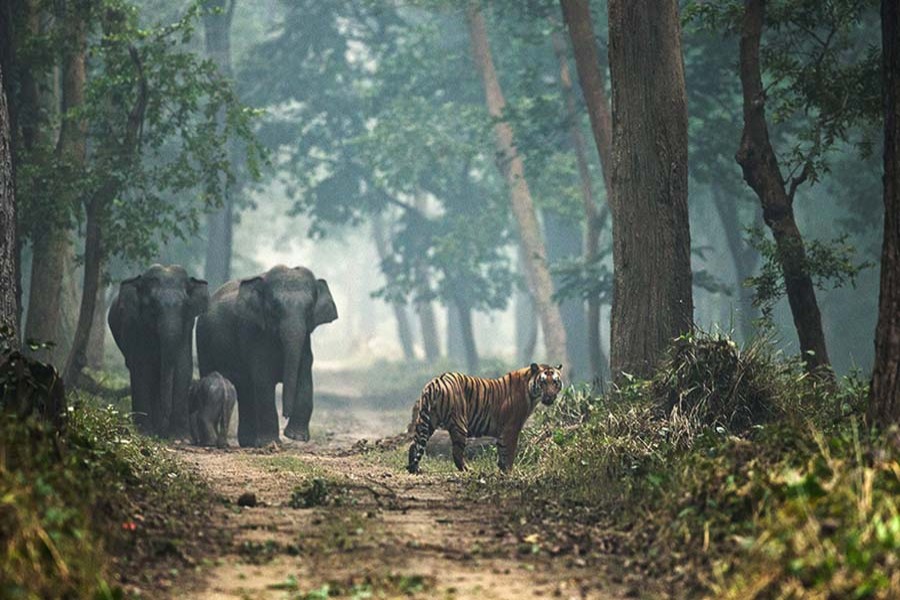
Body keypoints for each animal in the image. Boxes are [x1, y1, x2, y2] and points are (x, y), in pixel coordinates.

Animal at [108, 264, 208, 437]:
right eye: (152, 306)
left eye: (185, 305)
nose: (163, 432)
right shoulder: (137, 325)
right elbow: (141, 368)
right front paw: (145, 432)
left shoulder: (187, 327)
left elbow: (183, 367)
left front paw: (181, 438)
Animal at [196, 265, 338, 447]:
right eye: (275, 306)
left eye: (309, 308)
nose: (286, 415)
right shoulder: (254, 334)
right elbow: (263, 380)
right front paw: (271, 442)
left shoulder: (306, 343)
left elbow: (305, 378)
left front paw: (296, 437)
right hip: (203, 340)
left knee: (246, 389)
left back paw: (249, 442)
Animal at [407, 363, 563, 474]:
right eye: (543, 382)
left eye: (555, 382)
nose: (550, 397)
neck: (530, 391)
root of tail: (436, 382)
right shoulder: (512, 428)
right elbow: (510, 452)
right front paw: (509, 472)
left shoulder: (503, 432)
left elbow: (502, 451)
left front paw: (502, 470)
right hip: (459, 424)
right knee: (456, 453)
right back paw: (467, 470)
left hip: (427, 421)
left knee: (414, 445)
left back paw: (414, 468)